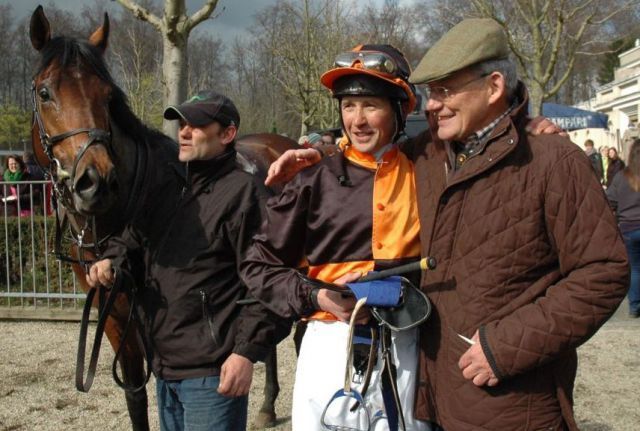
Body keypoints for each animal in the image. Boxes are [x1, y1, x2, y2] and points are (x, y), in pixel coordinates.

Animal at [29, 6, 298, 431]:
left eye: (108, 96)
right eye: (45, 92)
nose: (96, 182)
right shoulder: (115, 315)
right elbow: (136, 396)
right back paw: (267, 406)